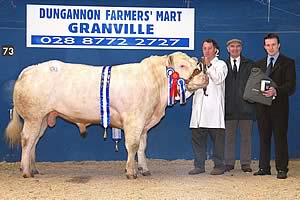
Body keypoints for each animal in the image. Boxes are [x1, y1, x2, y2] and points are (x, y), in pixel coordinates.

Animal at [4, 51, 209, 178]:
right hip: (33, 117)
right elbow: (133, 146)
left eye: (195, 63)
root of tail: (30, 69)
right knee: (27, 140)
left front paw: (144, 169)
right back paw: (26, 171)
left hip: (43, 118)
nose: (205, 77)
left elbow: (142, 148)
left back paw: (34, 168)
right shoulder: (134, 119)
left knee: (34, 141)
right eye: (182, 65)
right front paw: (131, 172)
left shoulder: (144, 123)